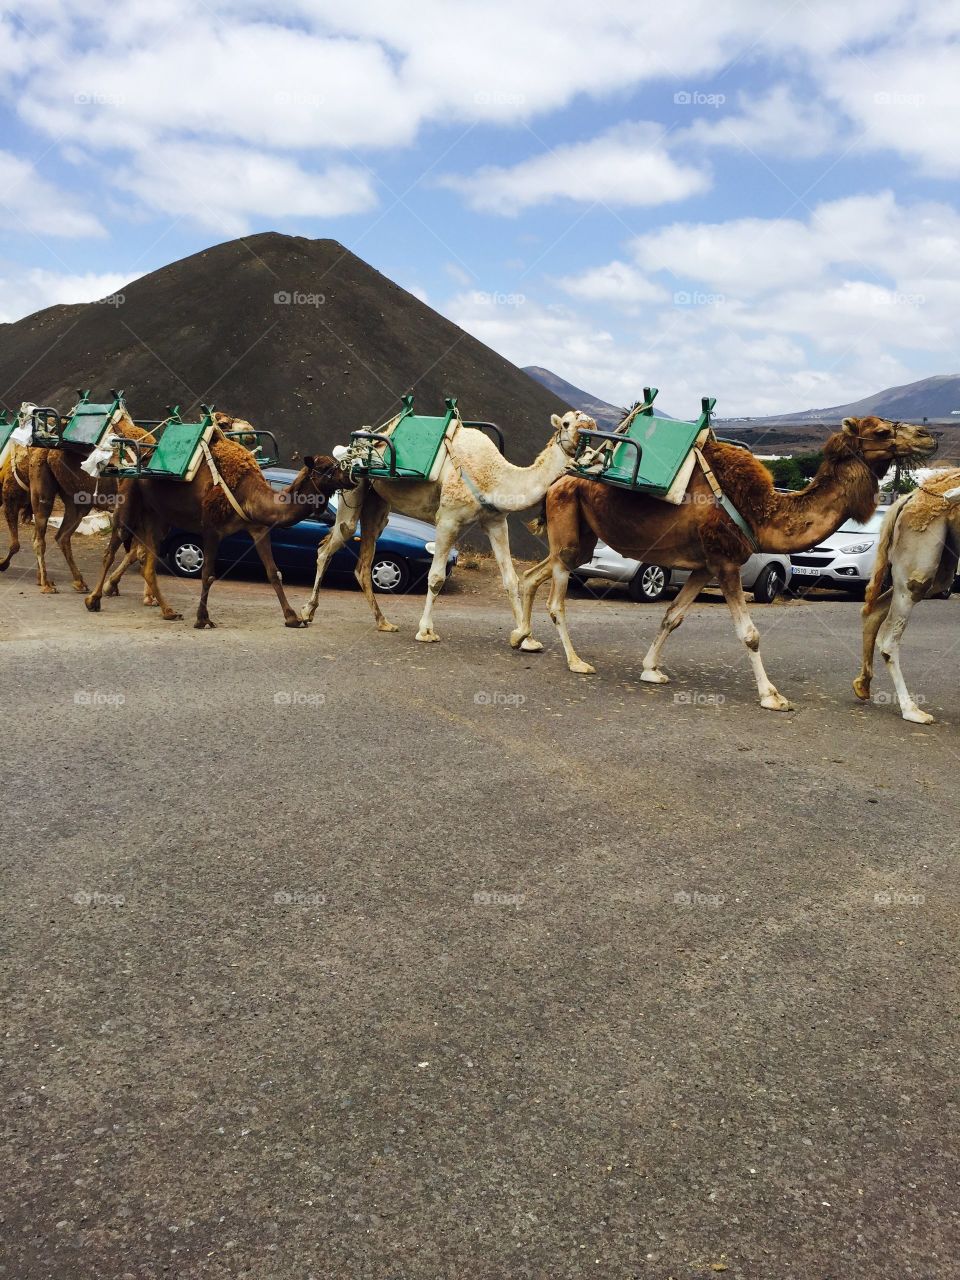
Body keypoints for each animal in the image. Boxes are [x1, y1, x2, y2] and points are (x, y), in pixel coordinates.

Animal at [83, 428, 347, 629]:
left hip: (158, 518)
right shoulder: (211, 528)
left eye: (336, 464)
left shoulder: (258, 528)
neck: (248, 493)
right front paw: (202, 619)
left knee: (147, 564)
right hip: (128, 502)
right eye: (327, 468)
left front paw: (292, 618)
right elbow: (207, 574)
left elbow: (274, 573)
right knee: (111, 549)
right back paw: (93, 600)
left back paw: (169, 611)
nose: (350, 477)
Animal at [300, 410, 591, 644]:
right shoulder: (448, 519)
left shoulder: (496, 521)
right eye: (567, 423)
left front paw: (526, 638)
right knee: (332, 543)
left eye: (592, 423)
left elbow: (510, 579)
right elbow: (436, 576)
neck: (494, 477)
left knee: (363, 563)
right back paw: (307, 612)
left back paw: (383, 622)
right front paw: (426, 631)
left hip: (378, 504)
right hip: (353, 485)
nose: (587, 431)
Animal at [510, 416, 937, 711]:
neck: (761, 512)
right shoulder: (726, 562)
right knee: (557, 599)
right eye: (881, 431)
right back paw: (576, 661)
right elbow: (749, 634)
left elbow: (672, 617)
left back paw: (523, 638)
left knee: (532, 576)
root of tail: (560, 478)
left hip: (579, 538)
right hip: (568, 527)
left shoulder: (705, 565)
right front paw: (771, 695)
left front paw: (651, 669)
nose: (928, 435)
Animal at [853, 469, 960, 723]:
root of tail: (909, 497)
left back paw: (863, 685)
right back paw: (912, 710)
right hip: (920, 560)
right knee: (889, 637)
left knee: (873, 611)